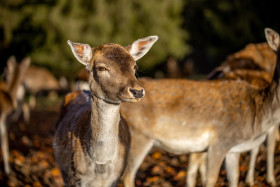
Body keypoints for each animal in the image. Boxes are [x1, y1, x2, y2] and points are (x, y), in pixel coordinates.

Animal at [52, 35, 158, 187]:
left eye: (134, 66)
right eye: (101, 67)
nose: (137, 91)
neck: (100, 165)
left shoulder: (115, 178)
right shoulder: (77, 178)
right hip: (63, 170)